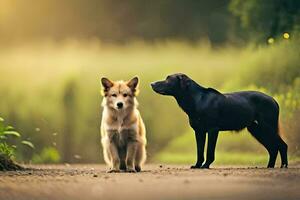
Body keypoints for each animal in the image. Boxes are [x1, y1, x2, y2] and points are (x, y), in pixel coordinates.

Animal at [152, 72, 288, 168]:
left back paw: (283, 166)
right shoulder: (199, 131)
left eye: (168, 79)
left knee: (282, 145)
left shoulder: (213, 129)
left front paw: (206, 166)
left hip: (267, 127)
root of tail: (274, 100)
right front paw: (197, 165)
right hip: (257, 129)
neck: (196, 100)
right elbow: (200, 151)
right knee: (273, 148)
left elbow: (209, 152)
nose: (152, 84)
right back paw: (270, 166)